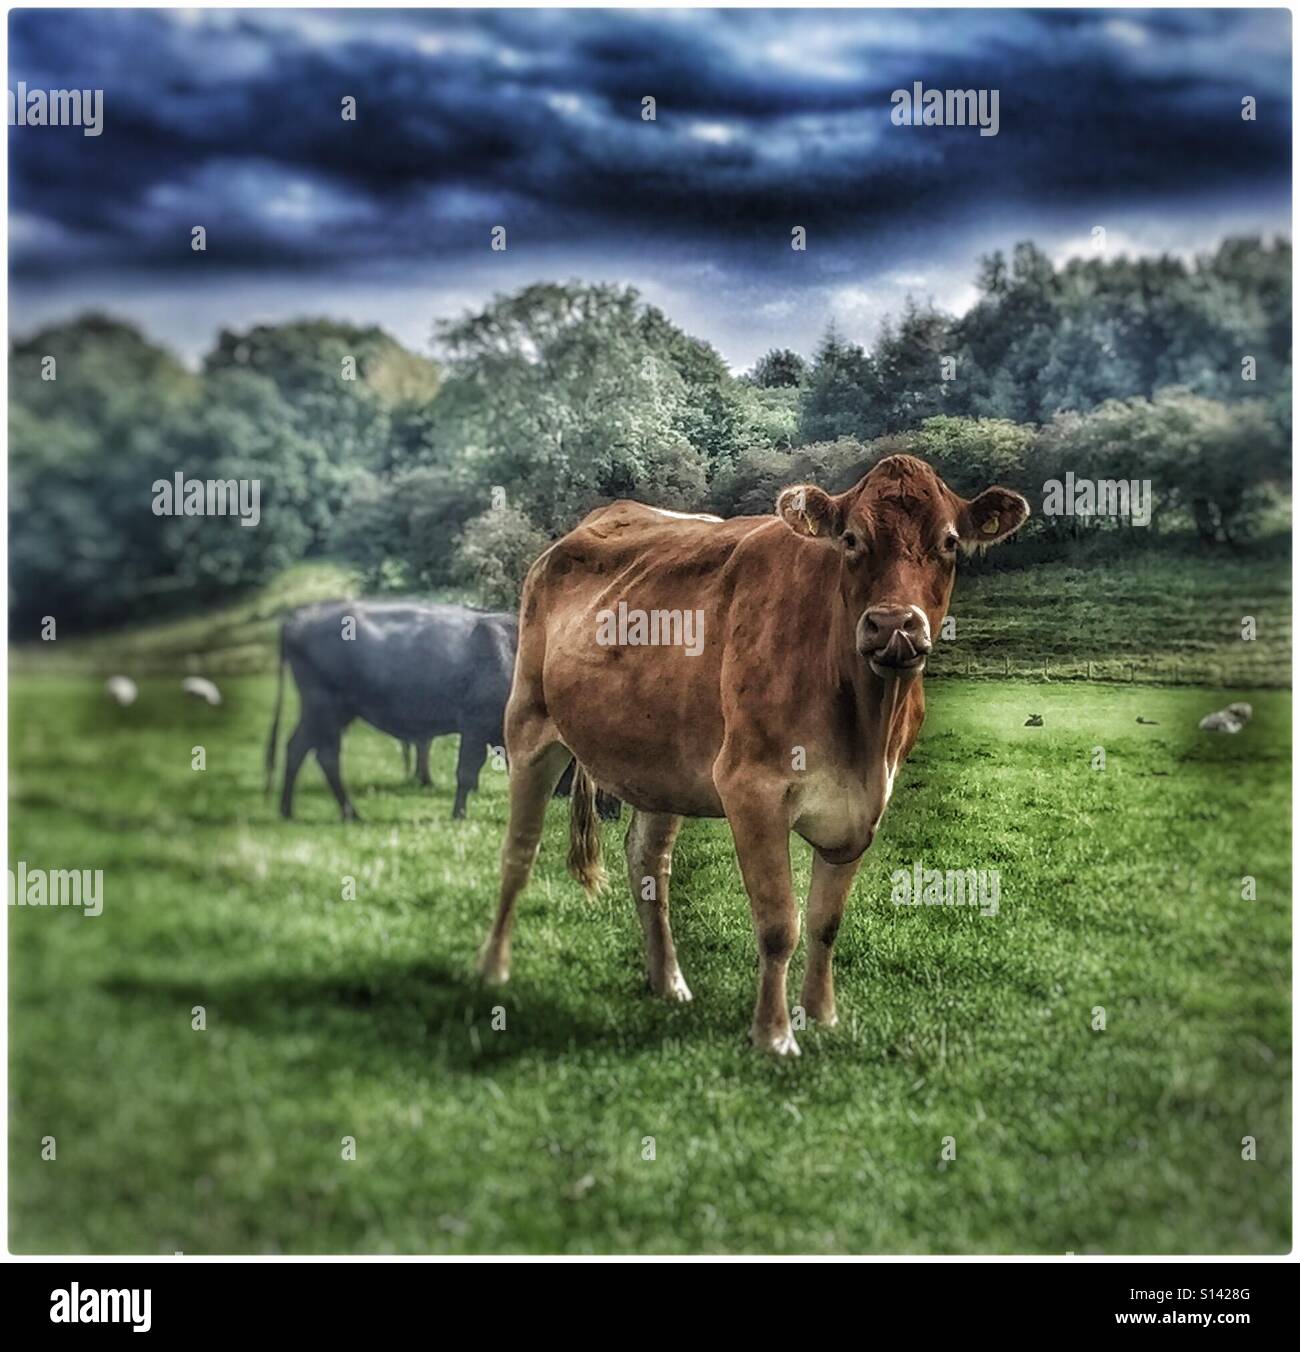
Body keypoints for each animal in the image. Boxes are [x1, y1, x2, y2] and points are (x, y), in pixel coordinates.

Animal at [266, 605, 513, 822]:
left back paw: (290, 810)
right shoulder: (475, 724)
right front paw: (458, 815)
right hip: (323, 707)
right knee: (324, 756)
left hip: (332, 713)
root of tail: (299, 617)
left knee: (299, 748)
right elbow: (467, 772)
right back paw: (348, 813)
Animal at [475, 454, 1021, 1054]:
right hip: (528, 724)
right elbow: (780, 924)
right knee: (518, 853)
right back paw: (494, 966)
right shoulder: (750, 788)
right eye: (851, 539)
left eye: (949, 542)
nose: (894, 625)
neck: (864, 728)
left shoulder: (864, 805)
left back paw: (668, 981)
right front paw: (774, 1035)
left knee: (647, 861)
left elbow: (827, 922)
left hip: (659, 761)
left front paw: (821, 1014)